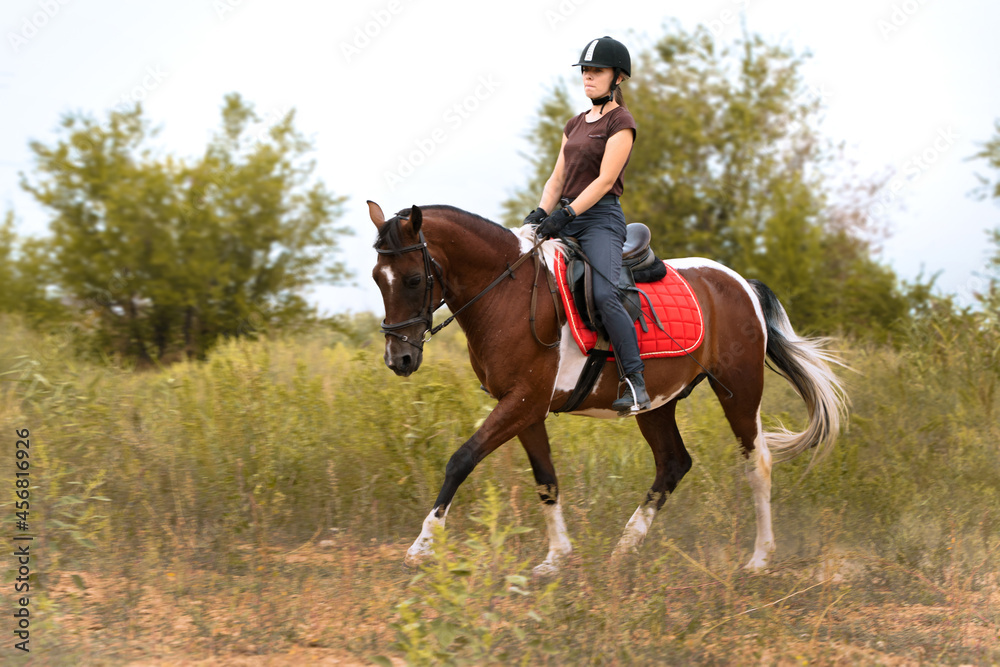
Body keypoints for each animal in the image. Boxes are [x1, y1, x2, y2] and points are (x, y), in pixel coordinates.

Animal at [368, 200, 847, 576]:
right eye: (376, 278)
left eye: (413, 279)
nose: (399, 359)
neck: (508, 293)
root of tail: (741, 283)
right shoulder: (526, 409)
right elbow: (546, 480)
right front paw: (556, 558)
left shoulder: (523, 402)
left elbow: (461, 460)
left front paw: (422, 545)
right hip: (655, 403)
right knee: (673, 463)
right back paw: (625, 548)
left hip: (739, 391)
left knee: (757, 463)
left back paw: (759, 559)